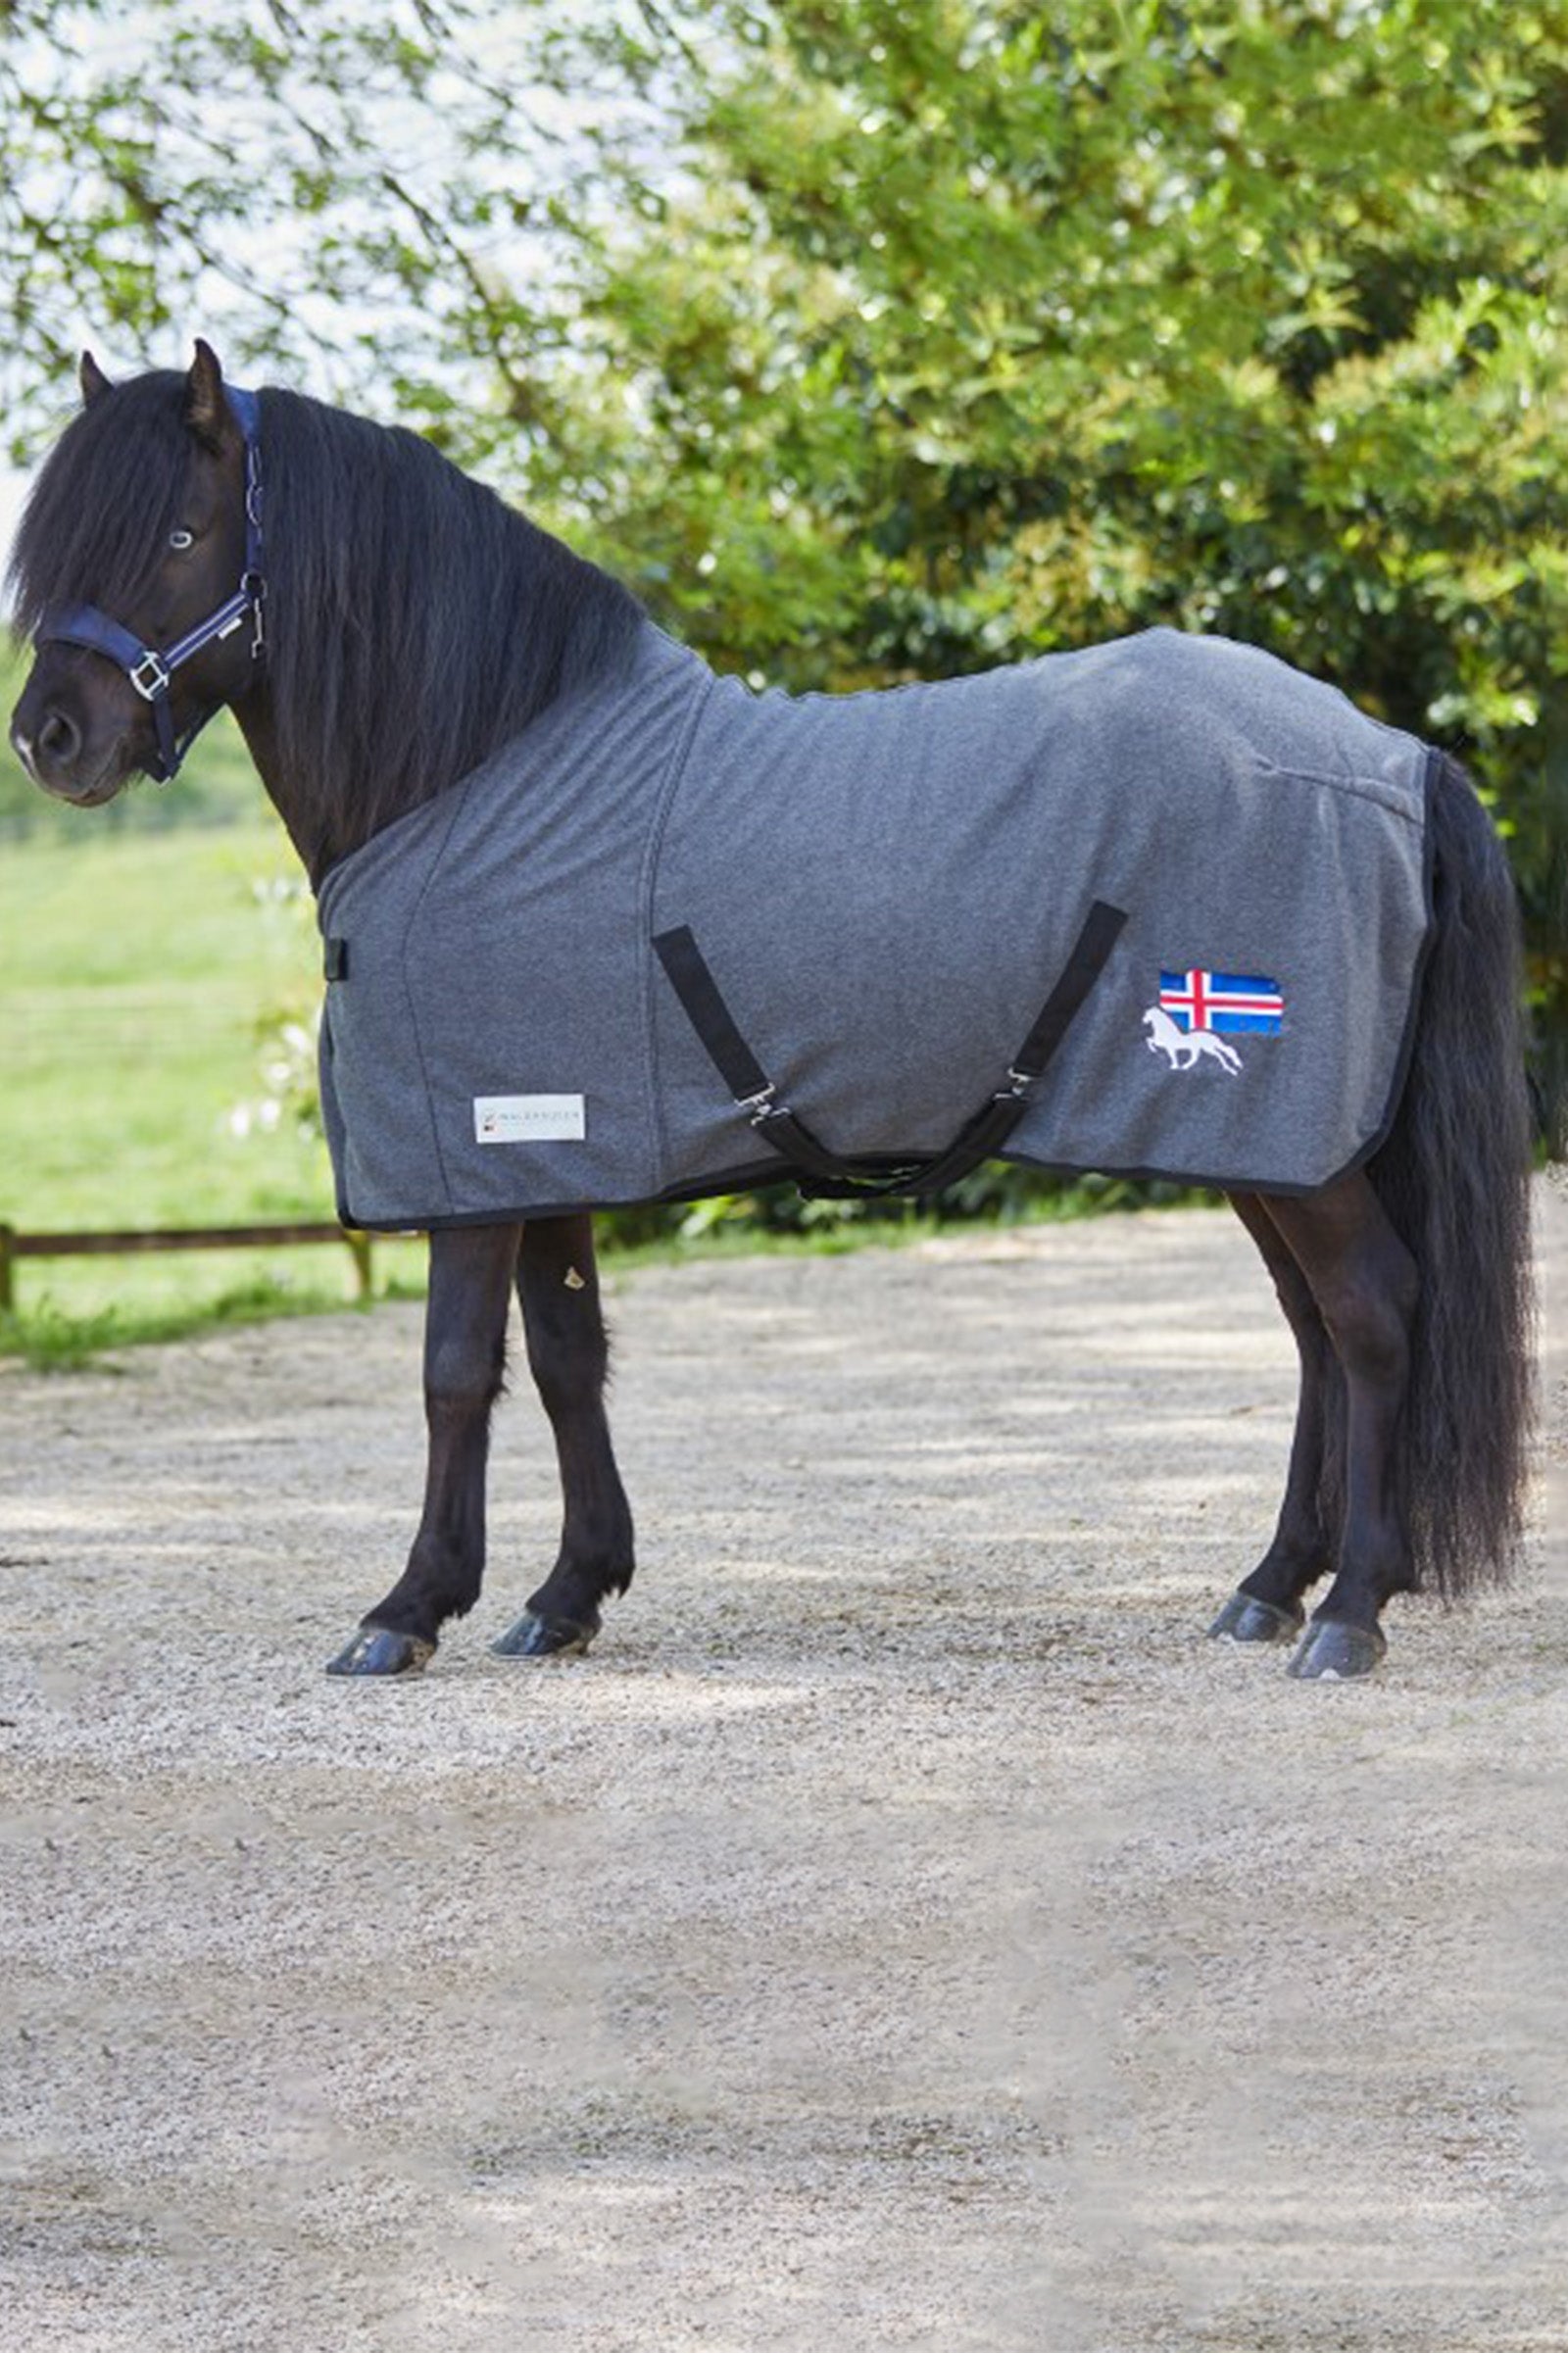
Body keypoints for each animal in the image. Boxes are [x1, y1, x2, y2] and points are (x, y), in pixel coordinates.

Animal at [6, 341, 1540, 1682]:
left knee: (1373, 1316)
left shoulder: (470, 1157)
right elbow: (566, 1360)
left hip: (1292, 1135)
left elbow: (452, 1372)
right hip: (1264, 1141)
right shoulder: (545, 1140)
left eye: (184, 535)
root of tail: (1392, 756)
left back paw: (1349, 1611)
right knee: (1313, 1330)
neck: (471, 769)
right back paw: (1271, 1586)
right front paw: (566, 1595)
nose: (50, 740)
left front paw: (407, 1610)